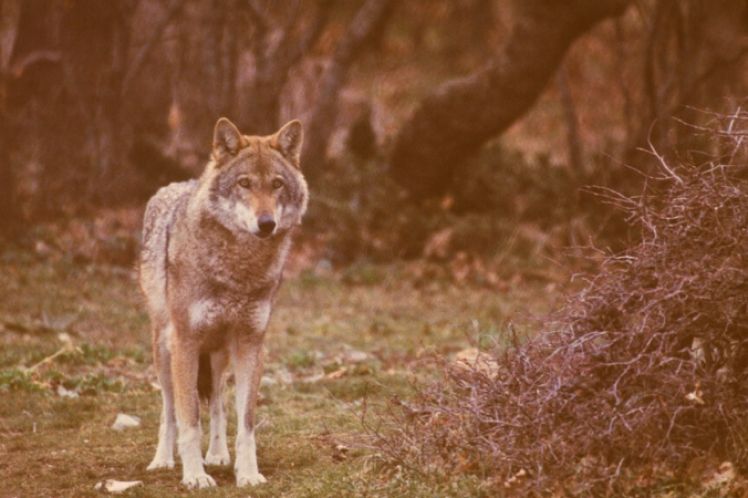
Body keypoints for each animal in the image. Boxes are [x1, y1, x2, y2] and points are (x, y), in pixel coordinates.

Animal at [139, 116, 306, 486]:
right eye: (244, 183)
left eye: (276, 185)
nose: (267, 223)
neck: (237, 271)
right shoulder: (186, 342)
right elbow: (188, 420)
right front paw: (194, 476)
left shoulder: (251, 343)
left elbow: (245, 422)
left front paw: (248, 474)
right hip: (165, 349)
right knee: (169, 409)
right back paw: (162, 460)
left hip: (218, 354)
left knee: (217, 404)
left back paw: (217, 454)